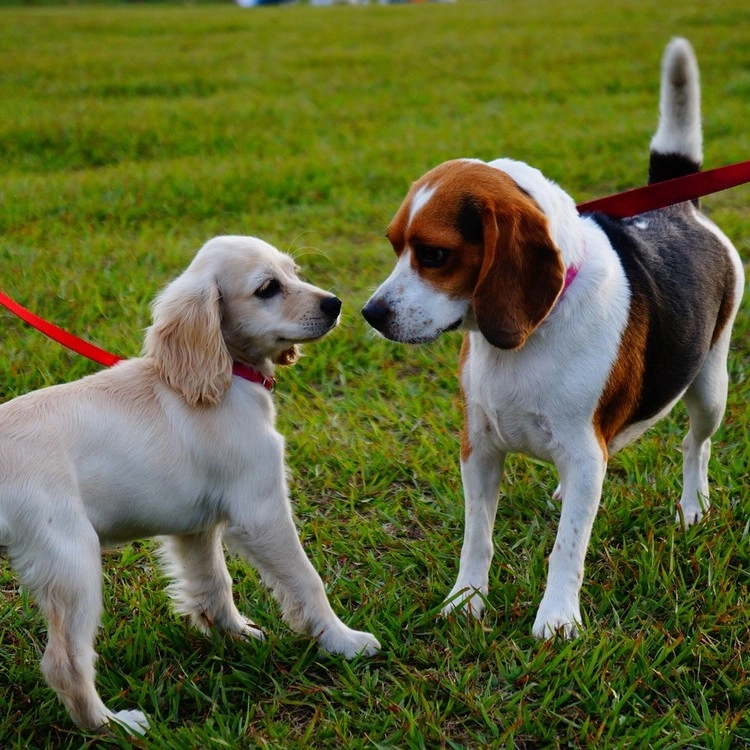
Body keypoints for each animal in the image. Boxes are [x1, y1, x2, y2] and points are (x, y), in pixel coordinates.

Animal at [0, 235, 380, 733]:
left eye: (294, 272)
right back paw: (113, 725)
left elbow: (214, 584)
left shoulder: (194, 529)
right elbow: (306, 580)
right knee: (64, 661)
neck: (229, 377)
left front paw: (234, 635)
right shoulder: (260, 510)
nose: (334, 304)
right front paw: (342, 641)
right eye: (267, 288)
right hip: (71, 559)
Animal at [362, 38, 744, 639]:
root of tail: (679, 206)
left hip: (711, 387)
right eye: (395, 245)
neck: (528, 336)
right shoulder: (479, 446)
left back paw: (693, 506)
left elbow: (568, 548)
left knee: (695, 445)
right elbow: (477, 536)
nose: (370, 313)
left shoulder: (587, 455)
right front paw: (466, 600)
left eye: (435, 255)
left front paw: (558, 619)